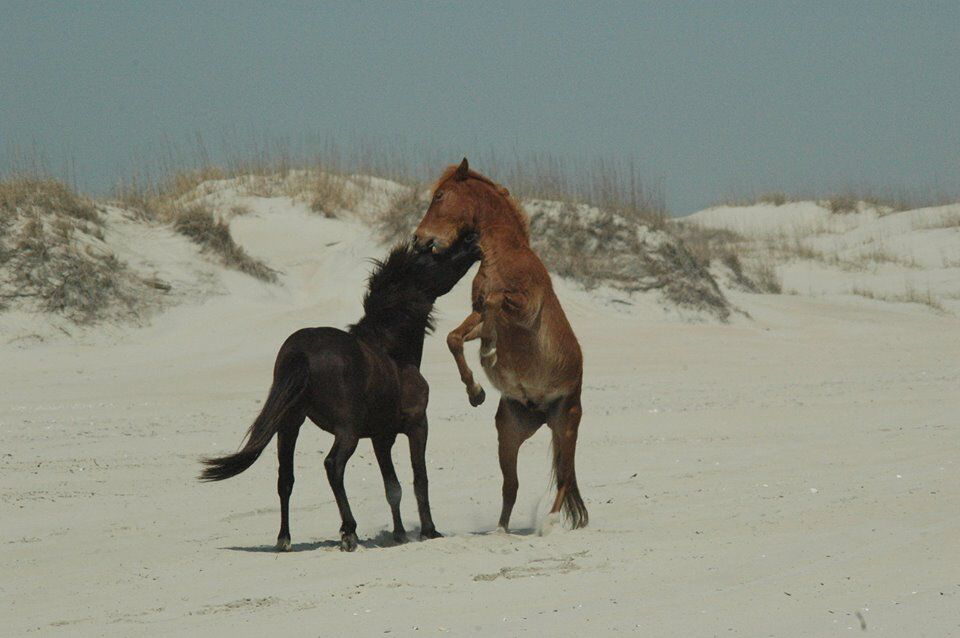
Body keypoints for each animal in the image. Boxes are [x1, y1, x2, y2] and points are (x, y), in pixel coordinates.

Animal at [200, 238, 480, 552]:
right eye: (435, 256)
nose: (473, 244)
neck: (393, 352)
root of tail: (301, 352)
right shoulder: (417, 424)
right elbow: (420, 478)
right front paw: (429, 531)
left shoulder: (382, 437)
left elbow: (392, 487)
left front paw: (398, 534)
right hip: (347, 431)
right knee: (333, 466)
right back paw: (349, 532)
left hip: (290, 424)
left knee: (285, 477)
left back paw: (284, 539)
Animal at [410, 160, 584, 536]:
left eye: (440, 196)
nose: (418, 239)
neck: (504, 255)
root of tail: (539, 412)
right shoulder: (476, 315)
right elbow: (455, 337)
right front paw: (476, 389)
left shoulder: (524, 308)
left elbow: (494, 303)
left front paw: (490, 352)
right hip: (509, 433)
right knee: (511, 484)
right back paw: (500, 531)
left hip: (566, 424)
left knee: (563, 478)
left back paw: (549, 524)